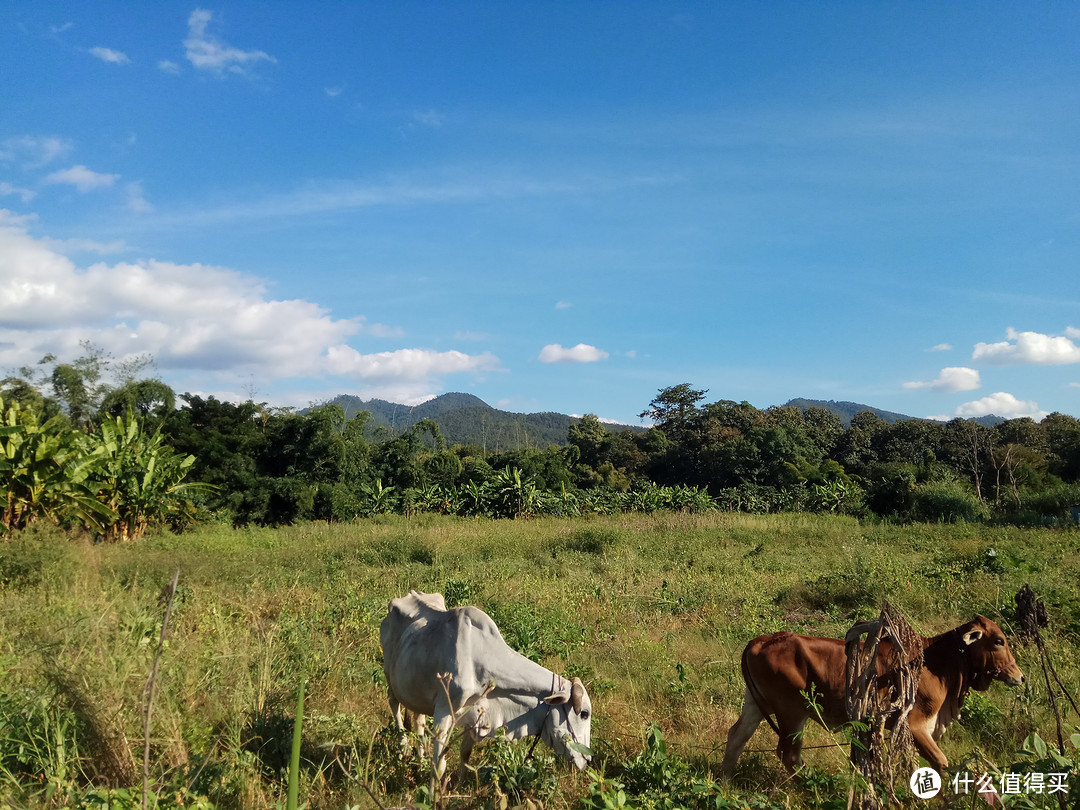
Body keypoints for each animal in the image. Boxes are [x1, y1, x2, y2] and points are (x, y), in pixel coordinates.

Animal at [380, 591, 596, 790]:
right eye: (584, 713)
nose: (587, 760)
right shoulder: (444, 710)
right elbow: (439, 766)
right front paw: (432, 796)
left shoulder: (474, 716)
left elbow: (465, 755)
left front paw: (458, 789)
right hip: (390, 679)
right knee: (395, 707)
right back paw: (403, 749)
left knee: (418, 719)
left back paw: (420, 757)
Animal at [721, 613, 1023, 773]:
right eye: (999, 641)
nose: (1020, 677)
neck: (939, 662)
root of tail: (759, 641)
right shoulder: (914, 724)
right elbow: (940, 762)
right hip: (792, 711)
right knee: (790, 754)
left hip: (756, 705)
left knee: (736, 737)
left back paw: (725, 779)